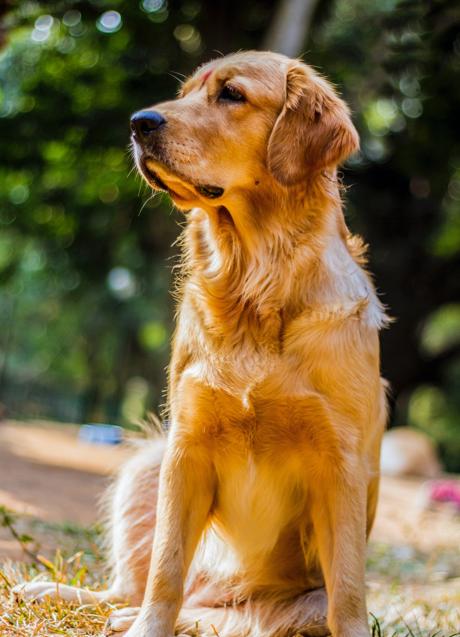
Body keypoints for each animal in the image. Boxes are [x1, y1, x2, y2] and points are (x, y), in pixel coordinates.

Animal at [14, 51, 388, 636]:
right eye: (185, 93)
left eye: (232, 94)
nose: (138, 122)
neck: (255, 286)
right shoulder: (185, 447)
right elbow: (166, 570)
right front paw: (147, 627)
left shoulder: (341, 460)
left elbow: (348, 593)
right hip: (147, 464)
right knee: (134, 588)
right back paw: (69, 597)